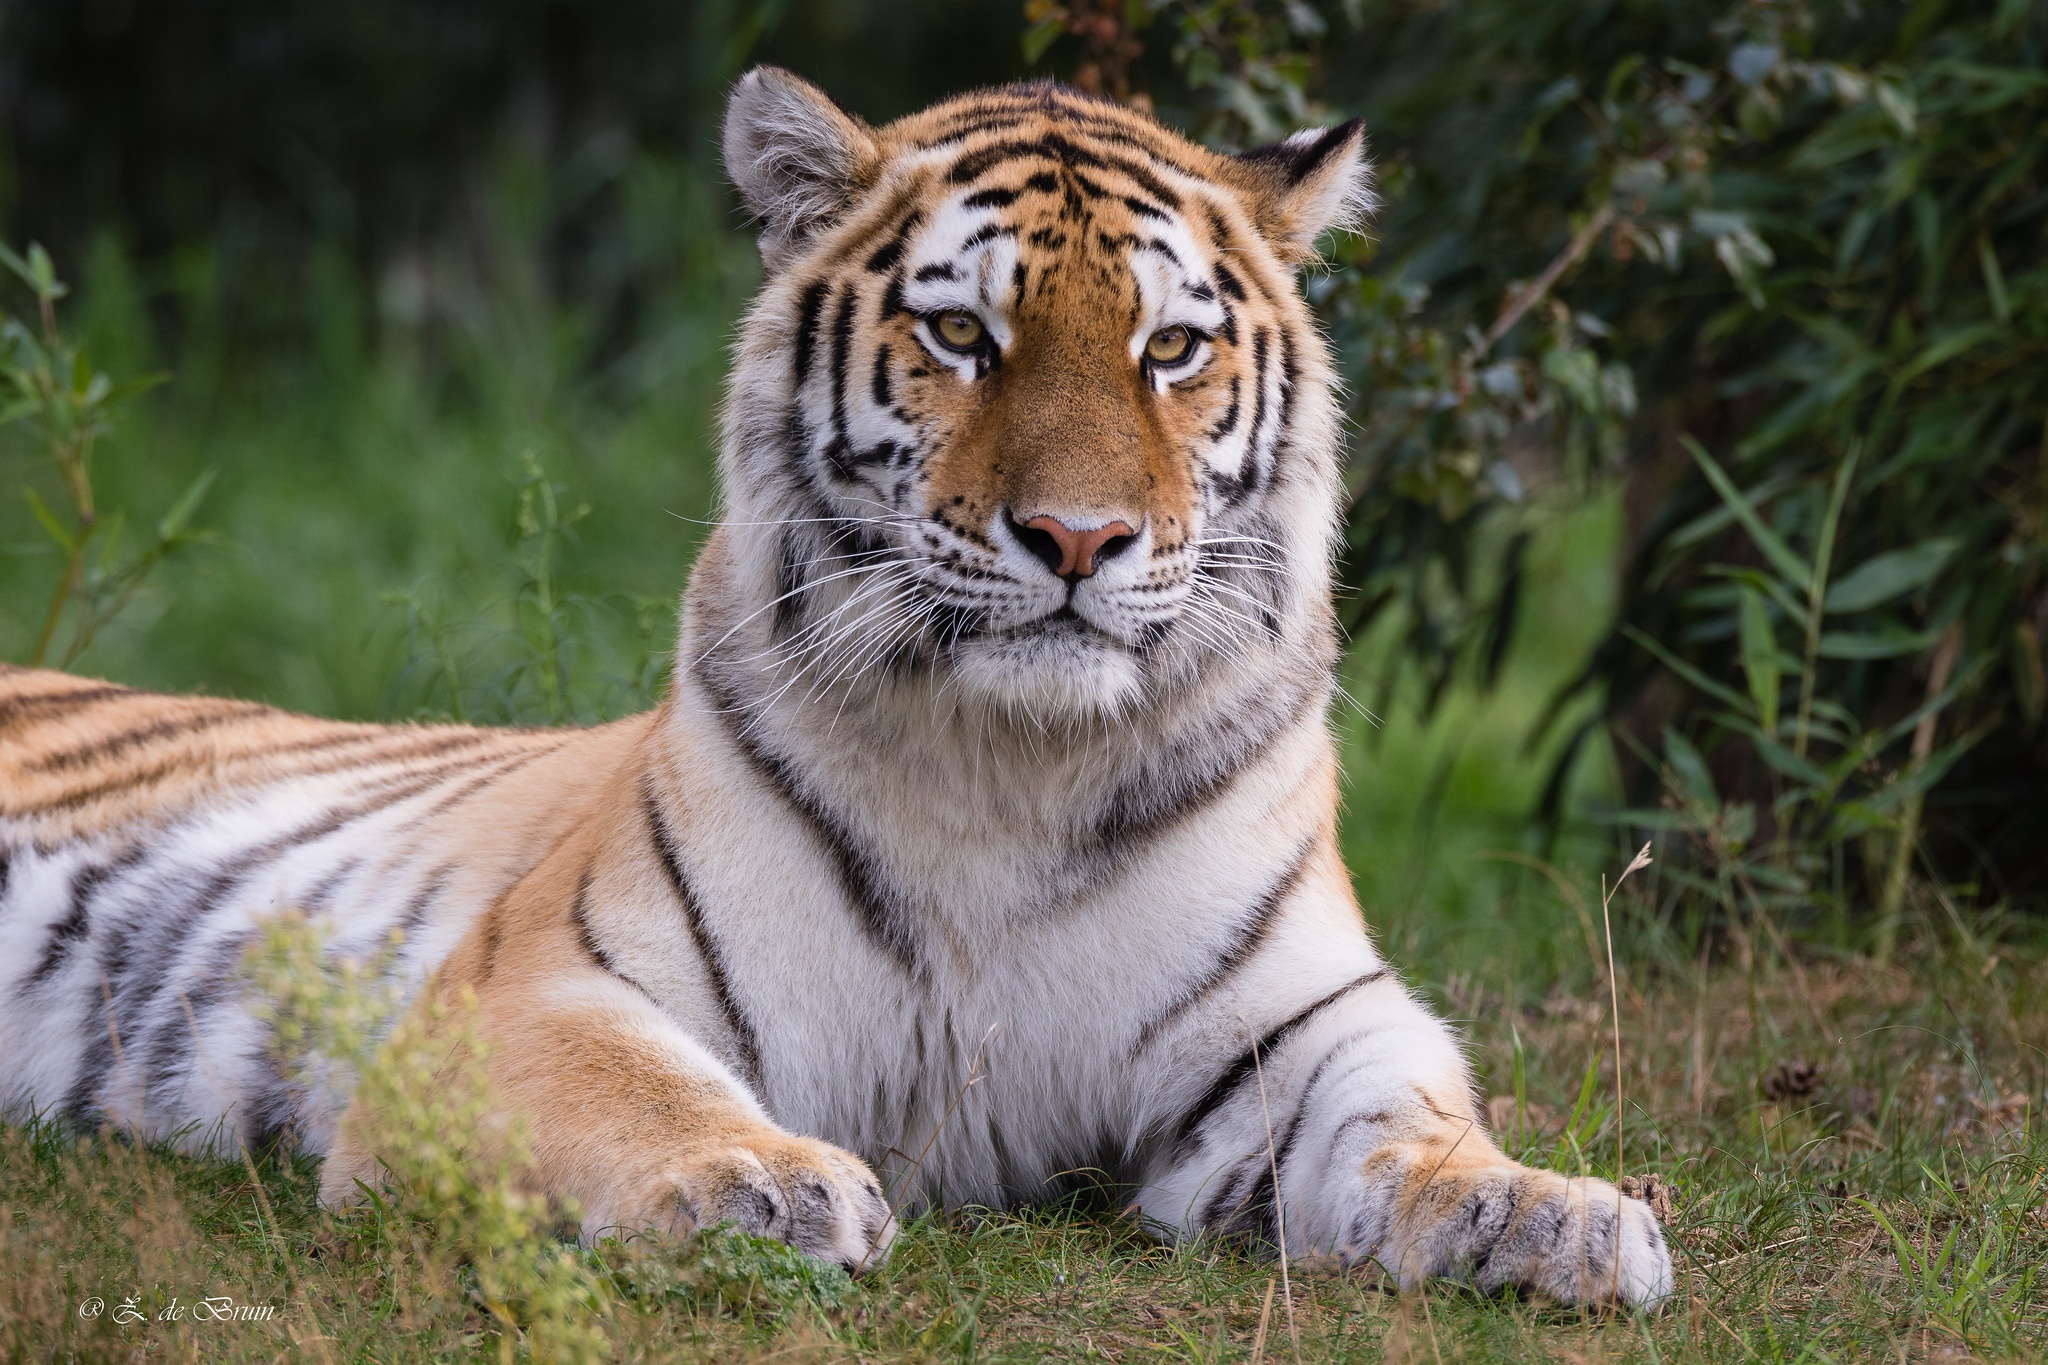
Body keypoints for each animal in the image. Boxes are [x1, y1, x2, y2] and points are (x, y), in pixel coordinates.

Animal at [0, 69, 1671, 1309]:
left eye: (1173, 348)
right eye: (962, 334)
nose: (1080, 538)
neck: (1016, 766)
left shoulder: (1304, 1021)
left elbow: (1411, 1116)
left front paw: (1553, 1213)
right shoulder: (531, 991)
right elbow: (640, 1093)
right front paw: (752, 1183)